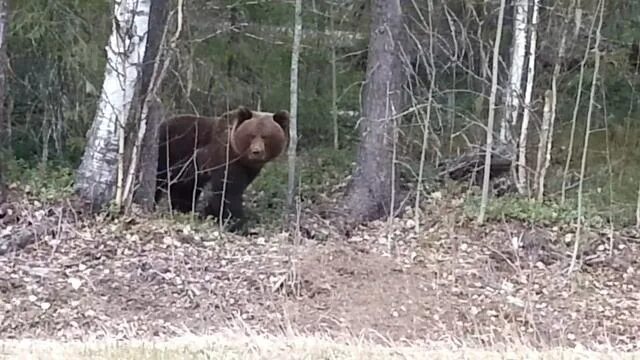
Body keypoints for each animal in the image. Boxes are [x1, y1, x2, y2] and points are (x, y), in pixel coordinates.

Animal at [155, 105, 290, 232]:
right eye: (251, 135)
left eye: (266, 136)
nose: (256, 151)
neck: (240, 156)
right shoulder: (224, 156)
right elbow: (228, 190)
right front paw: (236, 223)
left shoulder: (249, 169)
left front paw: (210, 213)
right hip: (167, 151)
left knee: (183, 189)